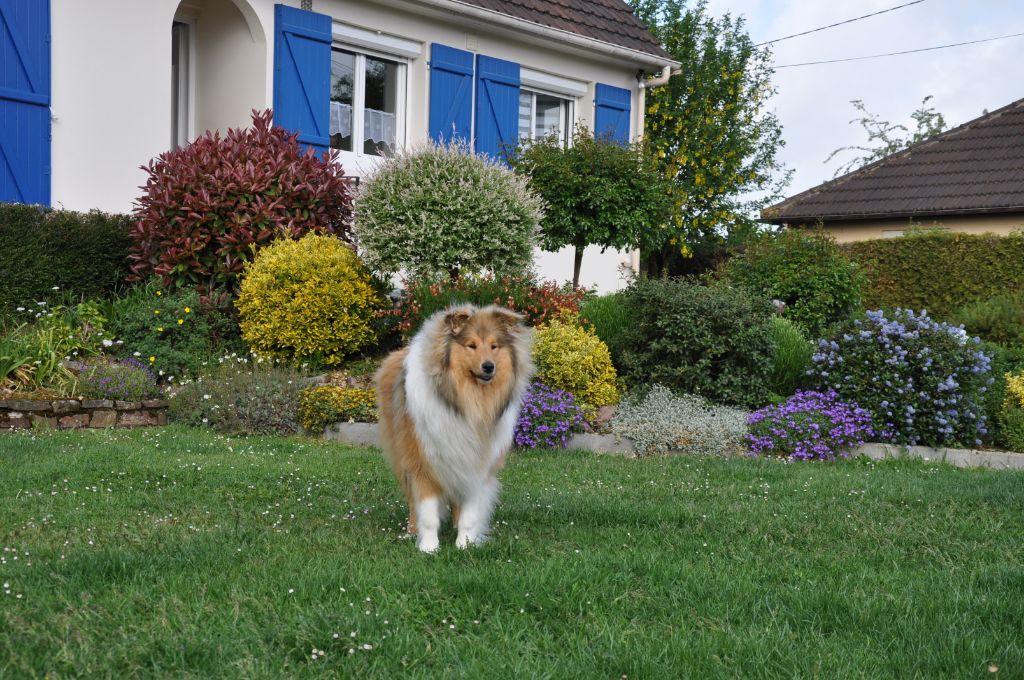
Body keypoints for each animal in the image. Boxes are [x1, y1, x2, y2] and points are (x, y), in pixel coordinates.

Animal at [375, 304, 534, 553]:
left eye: (494, 346)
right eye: (471, 345)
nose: (489, 367)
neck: (464, 403)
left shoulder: (475, 464)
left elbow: (470, 512)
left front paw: (465, 543)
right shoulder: (422, 462)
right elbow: (428, 512)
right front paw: (429, 547)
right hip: (401, 456)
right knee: (411, 500)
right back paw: (411, 531)